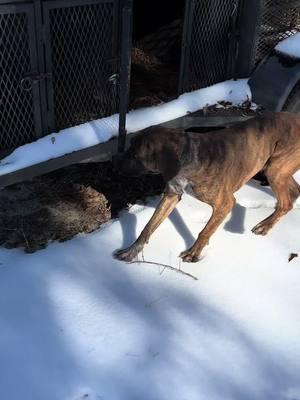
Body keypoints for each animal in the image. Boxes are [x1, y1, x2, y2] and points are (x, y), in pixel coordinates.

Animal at [113, 111, 300, 262]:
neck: (188, 155)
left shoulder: (225, 203)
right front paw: (131, 251)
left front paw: (193, 253)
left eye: (134, 154)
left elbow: (205, 231)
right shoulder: (171, 196)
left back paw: (264, 226)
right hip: (279, 170)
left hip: (274, 170)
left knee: (285, 203)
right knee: (294, 191)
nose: (115, 164)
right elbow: (148, 227)